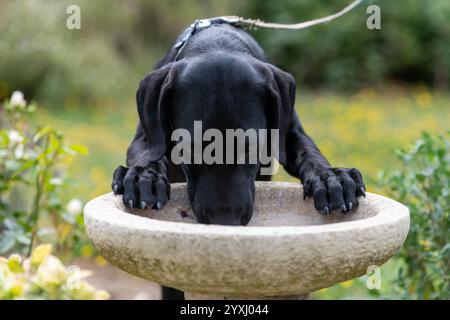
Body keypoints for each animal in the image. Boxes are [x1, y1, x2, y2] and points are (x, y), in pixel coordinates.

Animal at [110, 21, 364, 298]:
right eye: (189, 148)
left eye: (251, 147)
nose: (225, 224)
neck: (217, 42)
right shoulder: (145, 137)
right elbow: (148, 155)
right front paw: (142, 177)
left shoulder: (289, 131)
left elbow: (308, 153)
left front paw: (331, 179)